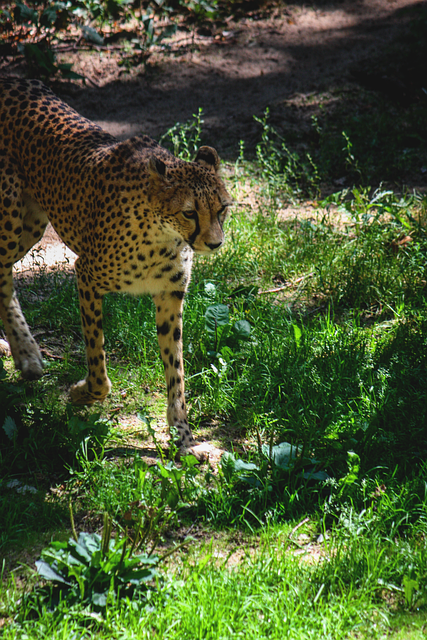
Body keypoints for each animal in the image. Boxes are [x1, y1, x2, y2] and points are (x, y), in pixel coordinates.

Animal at [0, 77, 232, 459]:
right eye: (189, 212)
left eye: (222, 208)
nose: (214, 243)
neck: (162, 233)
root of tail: (14, 79)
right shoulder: (85, 275)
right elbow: (98, 364)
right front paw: (79, 393)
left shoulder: (170, 296)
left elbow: (176, 372)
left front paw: (184, 439)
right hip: (11, 225)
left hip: (29, 226)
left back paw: (28, 355)